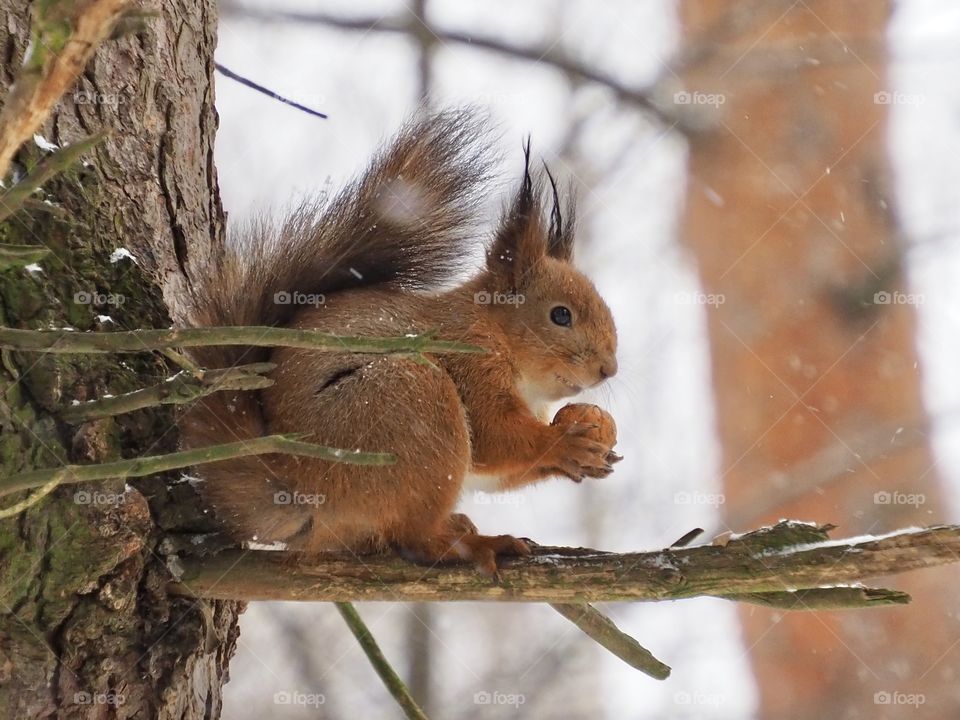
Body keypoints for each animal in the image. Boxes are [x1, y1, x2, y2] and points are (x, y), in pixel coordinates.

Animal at [178, 110, 620, 576]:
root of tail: (300, 488)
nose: (608, 369)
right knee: (415, 539)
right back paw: (477, 544)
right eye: (560, 315)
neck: (495, 333)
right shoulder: (471, 363)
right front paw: (566, 443)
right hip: (410, 406)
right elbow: (494, 438)